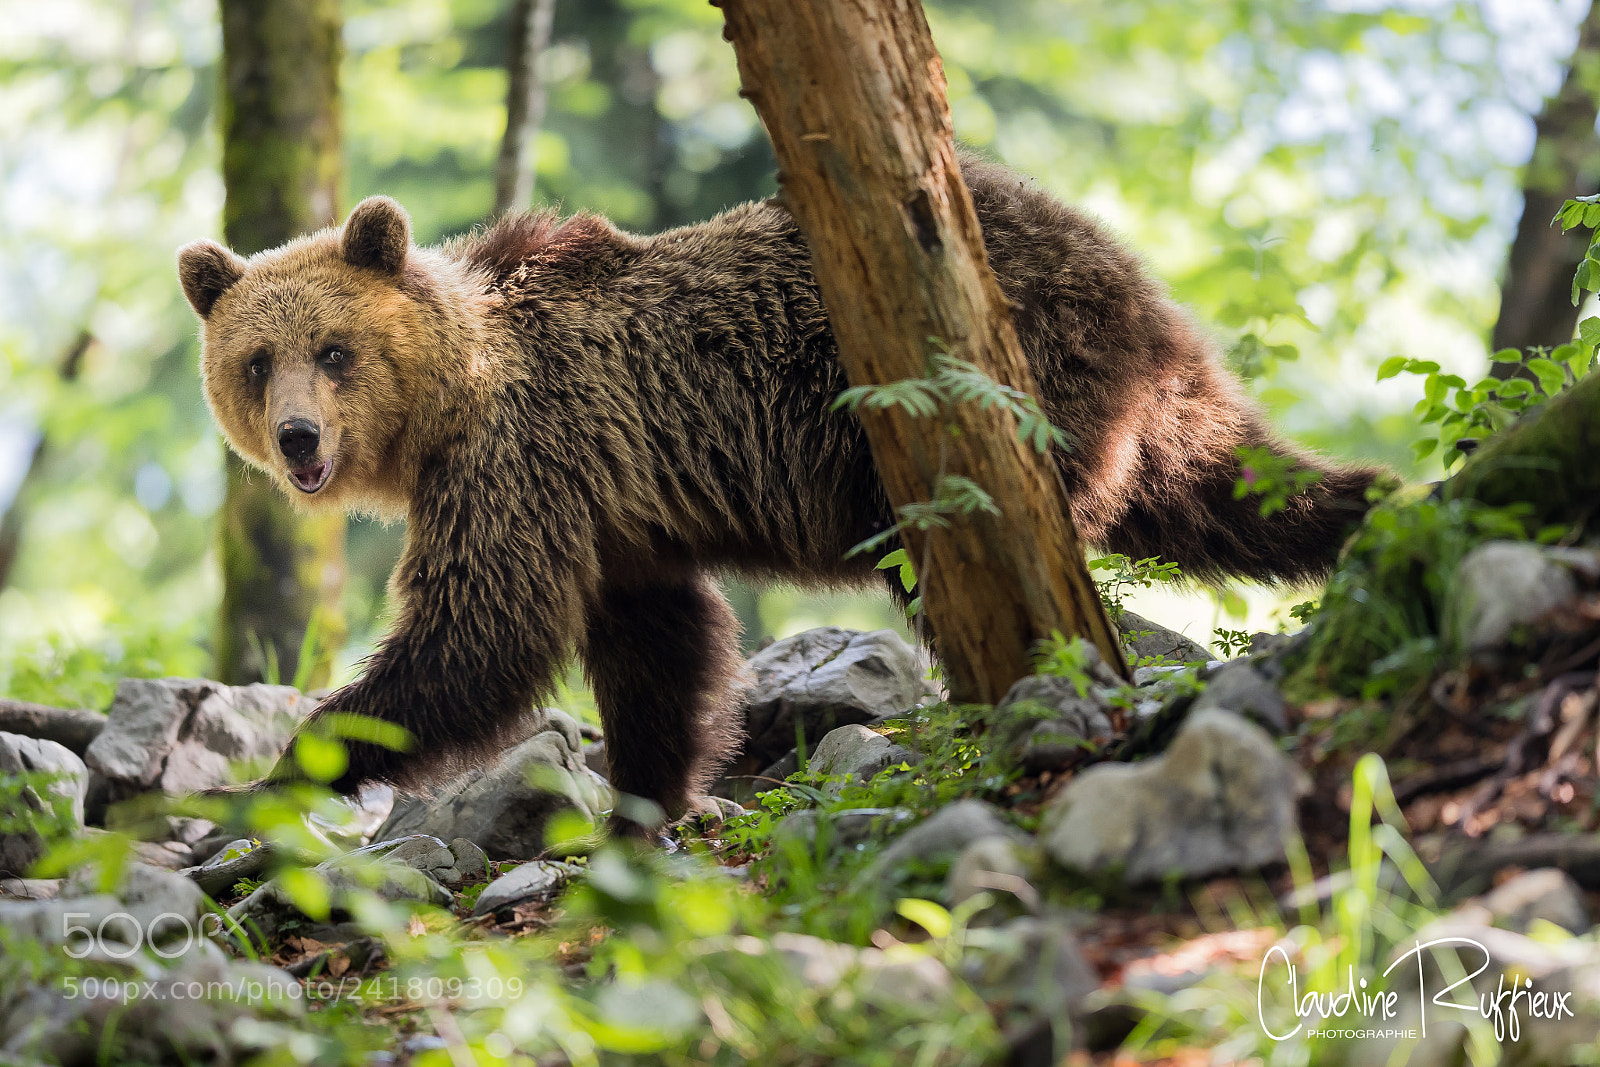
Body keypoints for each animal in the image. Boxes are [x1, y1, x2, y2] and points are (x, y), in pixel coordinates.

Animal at [177, 155, 1382, 824]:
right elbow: (659, 647)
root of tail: (1117, 263)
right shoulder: (618, 514)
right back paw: (1376, 511)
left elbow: (477, 634)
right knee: (1224, 492)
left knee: (972, 554)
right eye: (256, 360)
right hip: (1140, 400)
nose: (295, 435)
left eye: (333, 350)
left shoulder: (522, 457)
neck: (449, 400)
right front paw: (650, 795)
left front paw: (285, 773)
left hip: (982, 386)